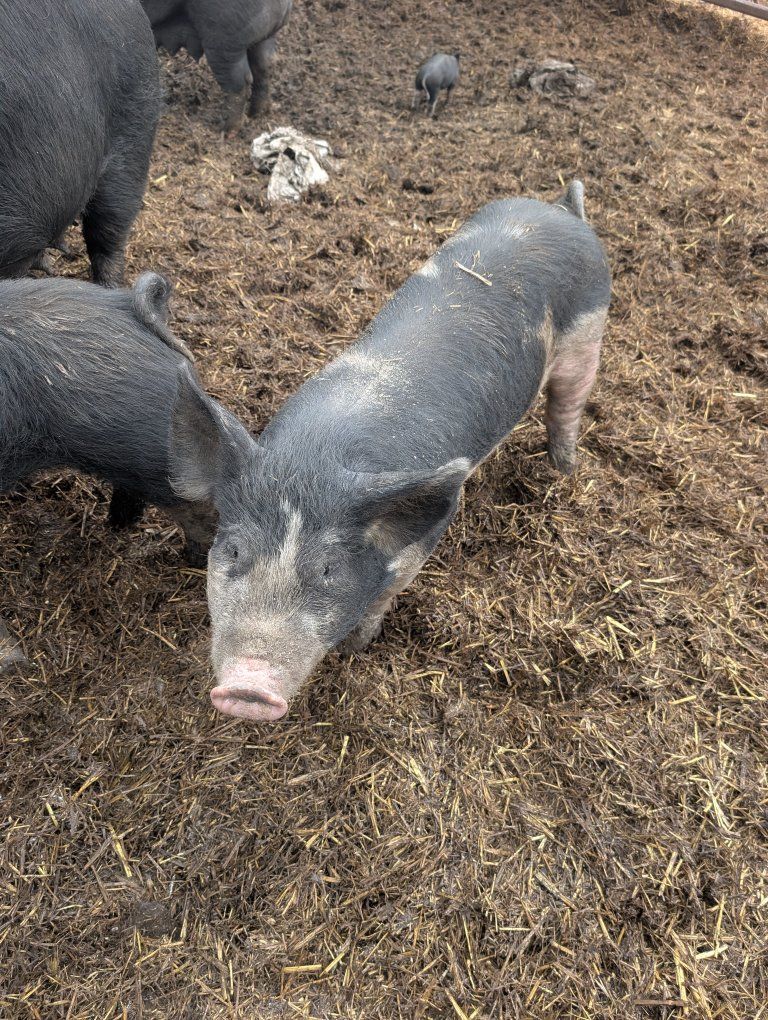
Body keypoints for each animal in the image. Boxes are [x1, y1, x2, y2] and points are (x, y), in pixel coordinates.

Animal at [142, 0, 292, 132]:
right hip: (263, 37)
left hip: (224, 42)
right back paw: (256, 114)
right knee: (265, 66)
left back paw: (224, 129)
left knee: (239, 83)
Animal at [168, 181, 611, 722]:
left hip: (588, 331)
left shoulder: (424, 536)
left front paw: (355, 647)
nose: (247, 690)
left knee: (568, 403)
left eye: (328, 570)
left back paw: (563, 470)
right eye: (233, 551)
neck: (314, 459)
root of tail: (562, 212)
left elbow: (385, 595)